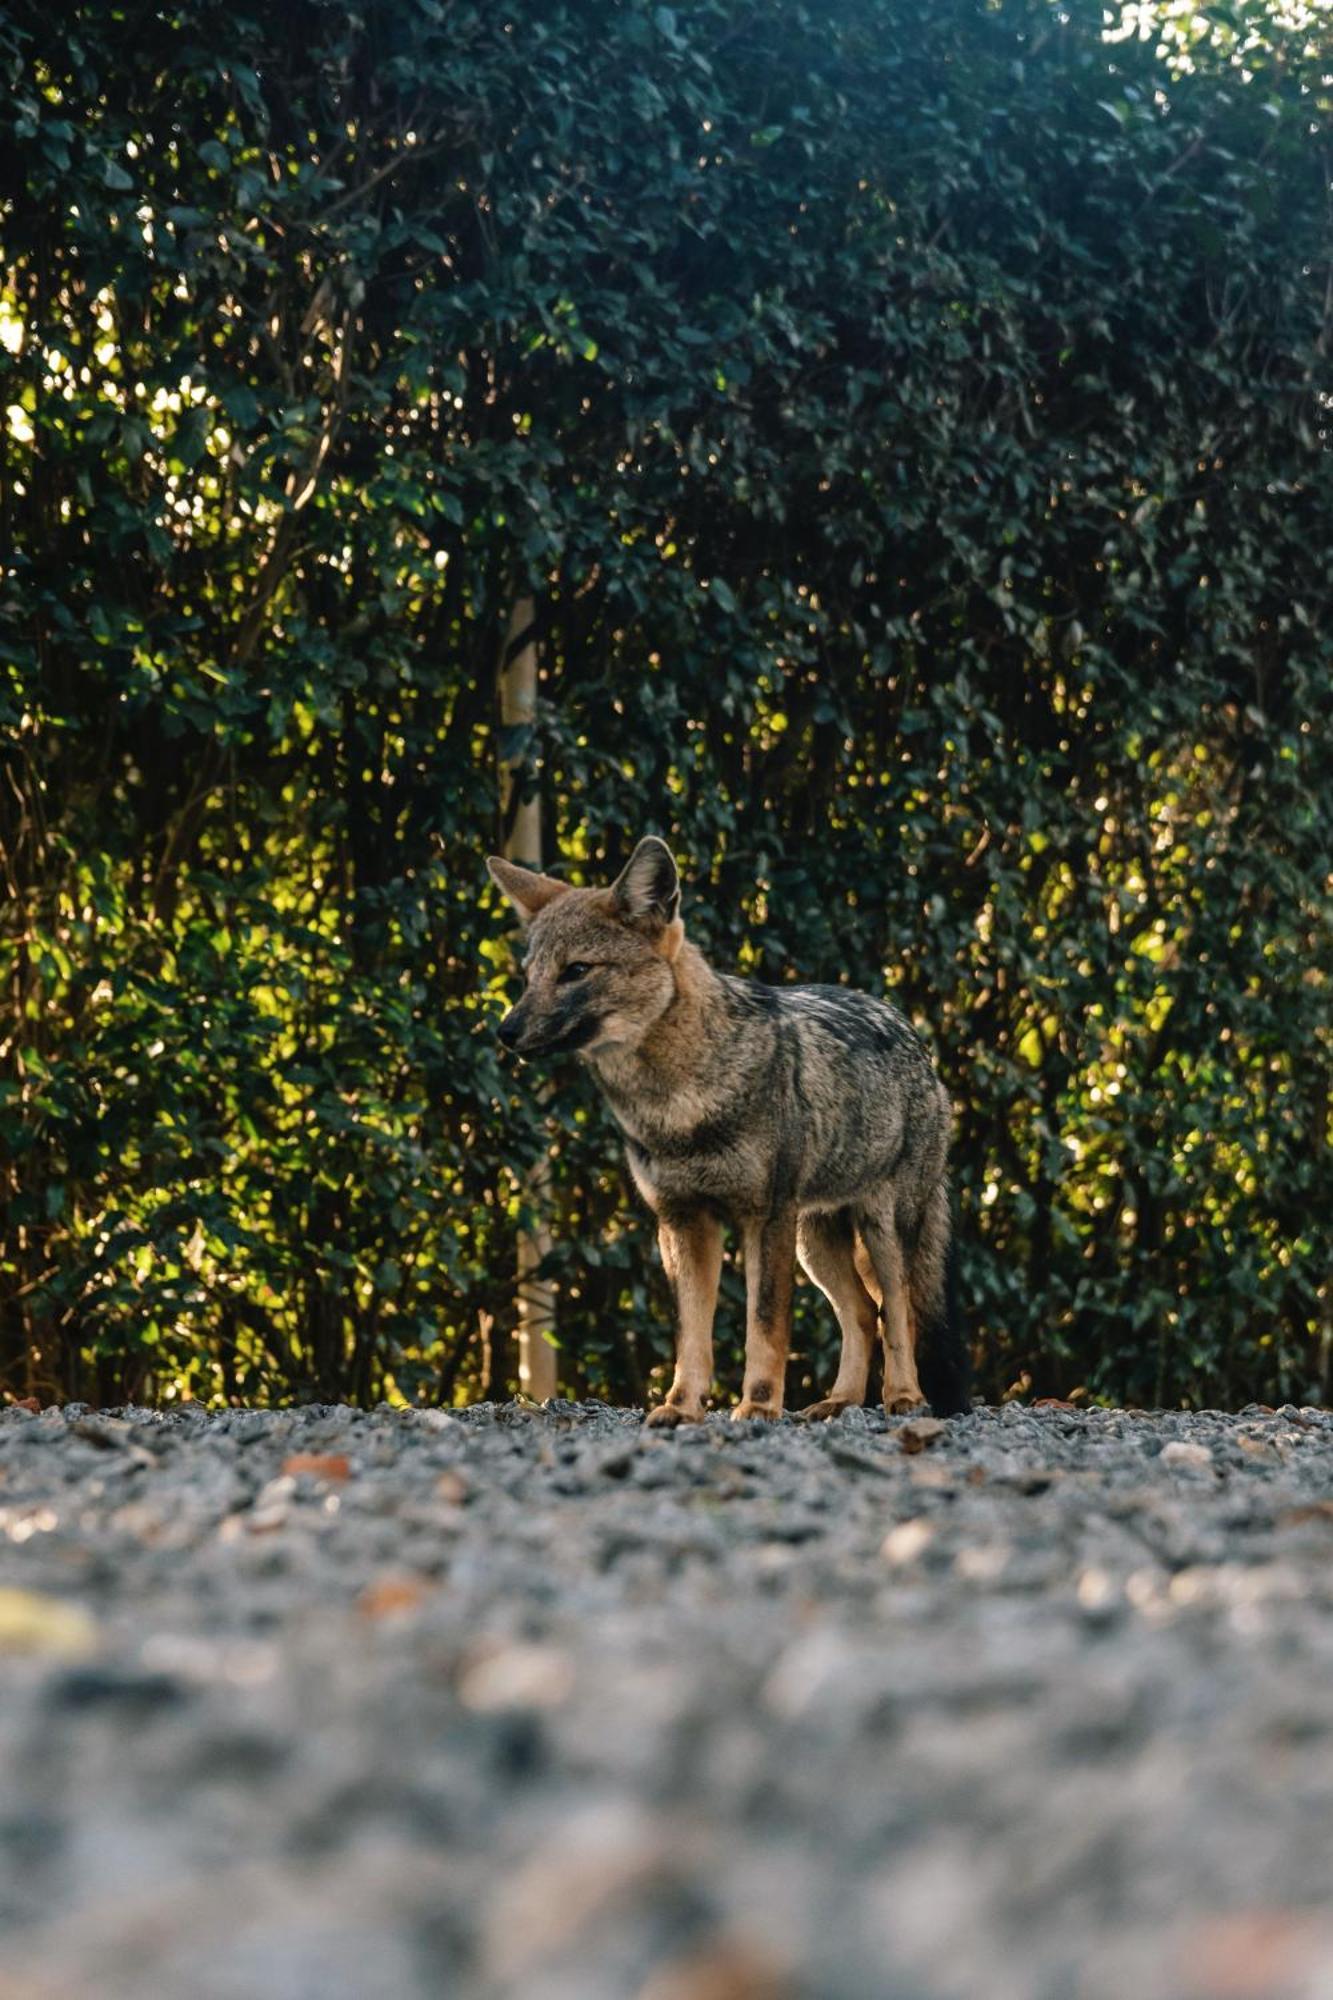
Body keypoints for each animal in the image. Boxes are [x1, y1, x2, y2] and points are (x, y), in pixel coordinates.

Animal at [488, 836, 964, 1432]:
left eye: (576, 970)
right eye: (529, 976)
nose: (504, 1031)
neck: (677, 1104)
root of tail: (910, 1033)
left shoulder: (765, 1219)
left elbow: (764, 1327)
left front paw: (758, 1406)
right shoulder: (682, 1221)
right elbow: (692, 1333)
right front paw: (681, 1405)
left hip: (880, 1230)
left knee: (898, 1312)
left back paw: (904, 1397)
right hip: (815, 1244)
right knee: (861, 1311)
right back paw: (841, 1401)